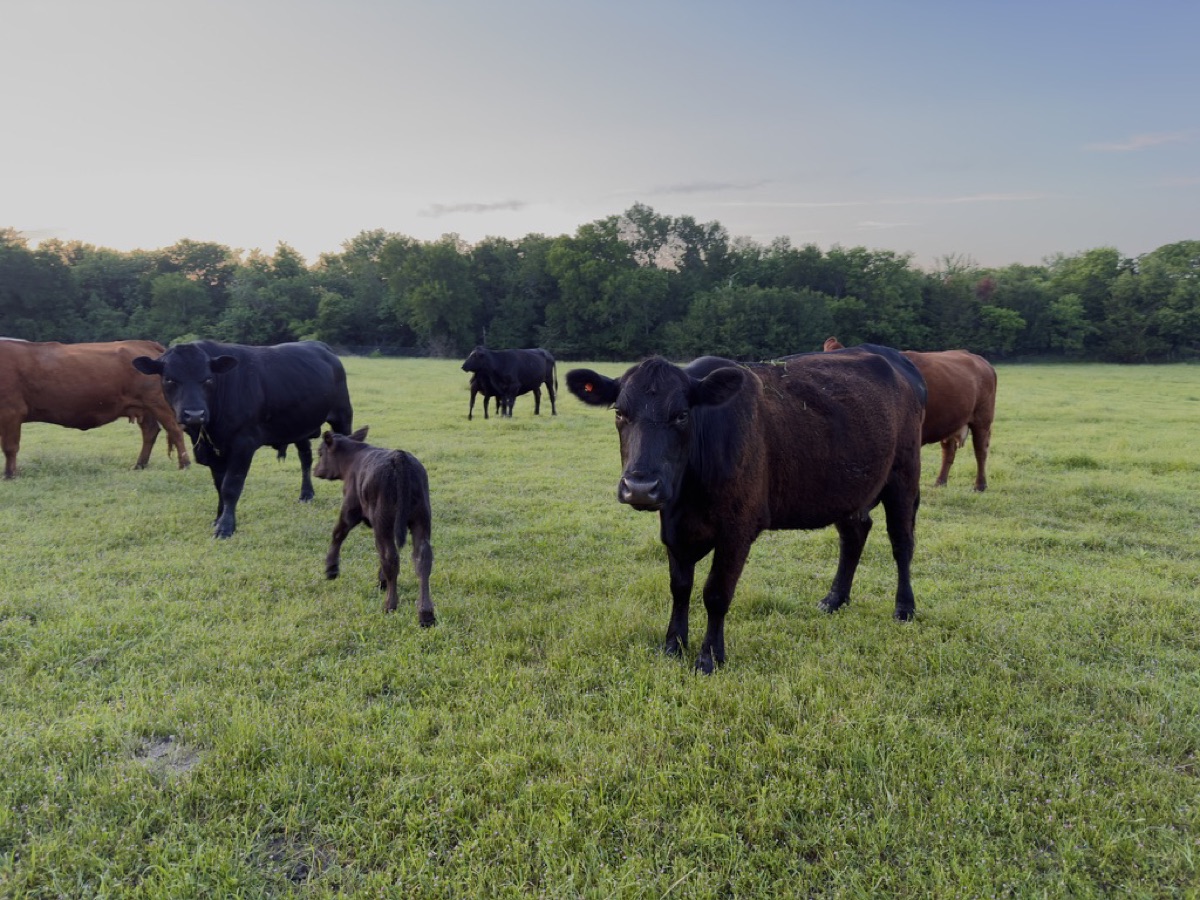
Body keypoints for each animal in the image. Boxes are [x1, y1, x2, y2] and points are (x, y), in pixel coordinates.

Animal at [1, 338, 190, 478]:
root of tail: (144, 343)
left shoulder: (12, 411)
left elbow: (10, 447)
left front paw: (10, 475)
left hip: (158, 403)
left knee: (175, 430)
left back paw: (184, 465)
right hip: (144, 408)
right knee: (150, 431)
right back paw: (139, 465)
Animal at [132, 340, 353, 538]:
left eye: (208, 379)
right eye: (169, 379)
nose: (194, 414)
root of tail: (320, 346)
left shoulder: (243, 444)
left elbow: (230, 486)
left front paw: (225, 527)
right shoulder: (213, 452)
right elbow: (219, 485)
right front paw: (218, 518)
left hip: (343, 416)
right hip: (299, 425)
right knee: (305, 458)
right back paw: (306, 494)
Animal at [314, 426, 436, 625]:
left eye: (320, 452)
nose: (315, 470)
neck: (353, 458)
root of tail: (399, 457)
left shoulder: (350, 508)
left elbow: (338, 533)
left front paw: (331, 569)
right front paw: (381, 581)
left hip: (382, 521)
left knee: (390, 558)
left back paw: (390, 605)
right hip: (421, 518)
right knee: (422, 558)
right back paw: (426, 614)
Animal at [567, 347, 926, 674]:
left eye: (682, 414)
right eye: (619, 413)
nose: (640, 487)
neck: (689, 495)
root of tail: (895, 358)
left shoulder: (737, 530)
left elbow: (716, 593)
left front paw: (709, 657)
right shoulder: (673, 529)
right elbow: (680, 588)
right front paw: (673, 646)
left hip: (904, 475)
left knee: (902, 543)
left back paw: (904, 607)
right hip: (848, 490)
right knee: (854, 534)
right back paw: (835, 599)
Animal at [824, 338, 997, 491]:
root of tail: (980, 360)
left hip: (982, 419)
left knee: (981, 451)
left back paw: (980, 485)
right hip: (950, 420)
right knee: (948, 452)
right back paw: (940, 482)